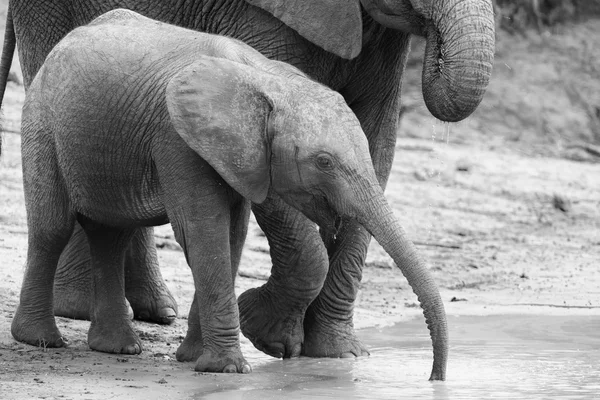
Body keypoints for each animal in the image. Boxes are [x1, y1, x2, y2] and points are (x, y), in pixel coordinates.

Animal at [0, 0, 496, 368]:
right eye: (322, 163)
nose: (435, 377)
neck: (260, 81)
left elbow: (377, 146)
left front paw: (335, 356)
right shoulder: (181, 134)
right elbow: (211, 225)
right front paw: (257, 345)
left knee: (111, 227)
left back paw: (130, 335)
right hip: (45, 99)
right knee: (55, 223)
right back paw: (50, 334)